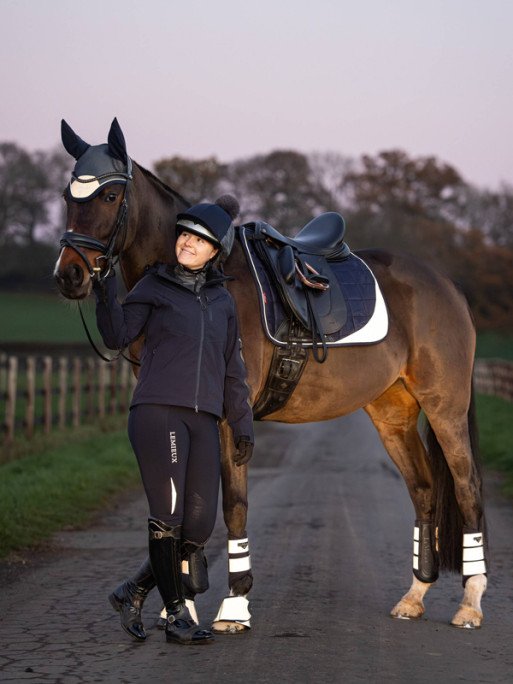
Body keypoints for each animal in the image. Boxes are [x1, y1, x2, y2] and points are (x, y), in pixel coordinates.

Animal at [54, 120, 486, 632]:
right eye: (67, 195)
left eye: (108, 196)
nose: (69, 275)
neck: (198, 281)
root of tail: (447, 284)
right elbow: (185, 506)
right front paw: (177, 603)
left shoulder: (229, 419)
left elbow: (232, 505)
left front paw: (233, 603)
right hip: (392, 414)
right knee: (423, 490)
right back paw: (415, 595)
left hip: (445, 410)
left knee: (467, 488)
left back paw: (471, 602)